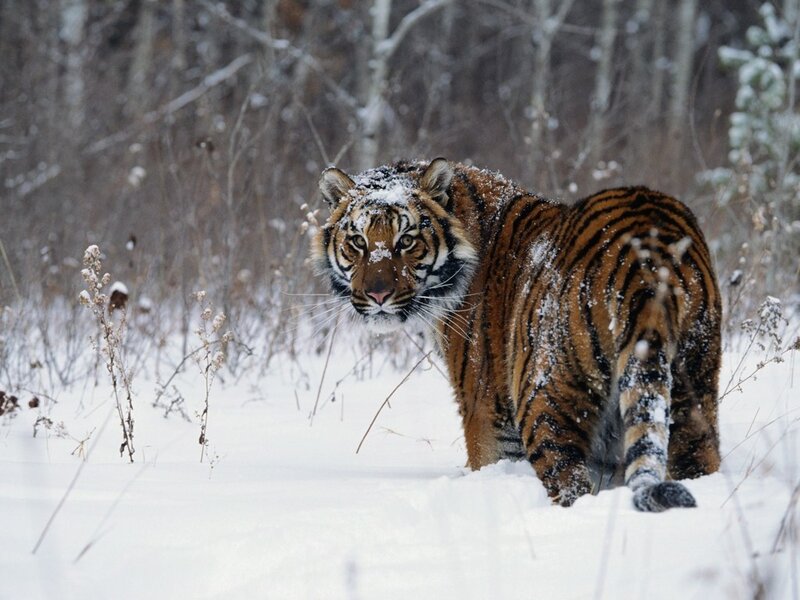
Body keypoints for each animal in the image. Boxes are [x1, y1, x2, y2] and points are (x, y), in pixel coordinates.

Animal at [312, 158, 721, 512]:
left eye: (407, 241)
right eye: (358, 242)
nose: (378, 295)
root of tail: (647, 256)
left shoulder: (486, 413)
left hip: (545, 400)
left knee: (570, 483)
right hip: (693, 391)